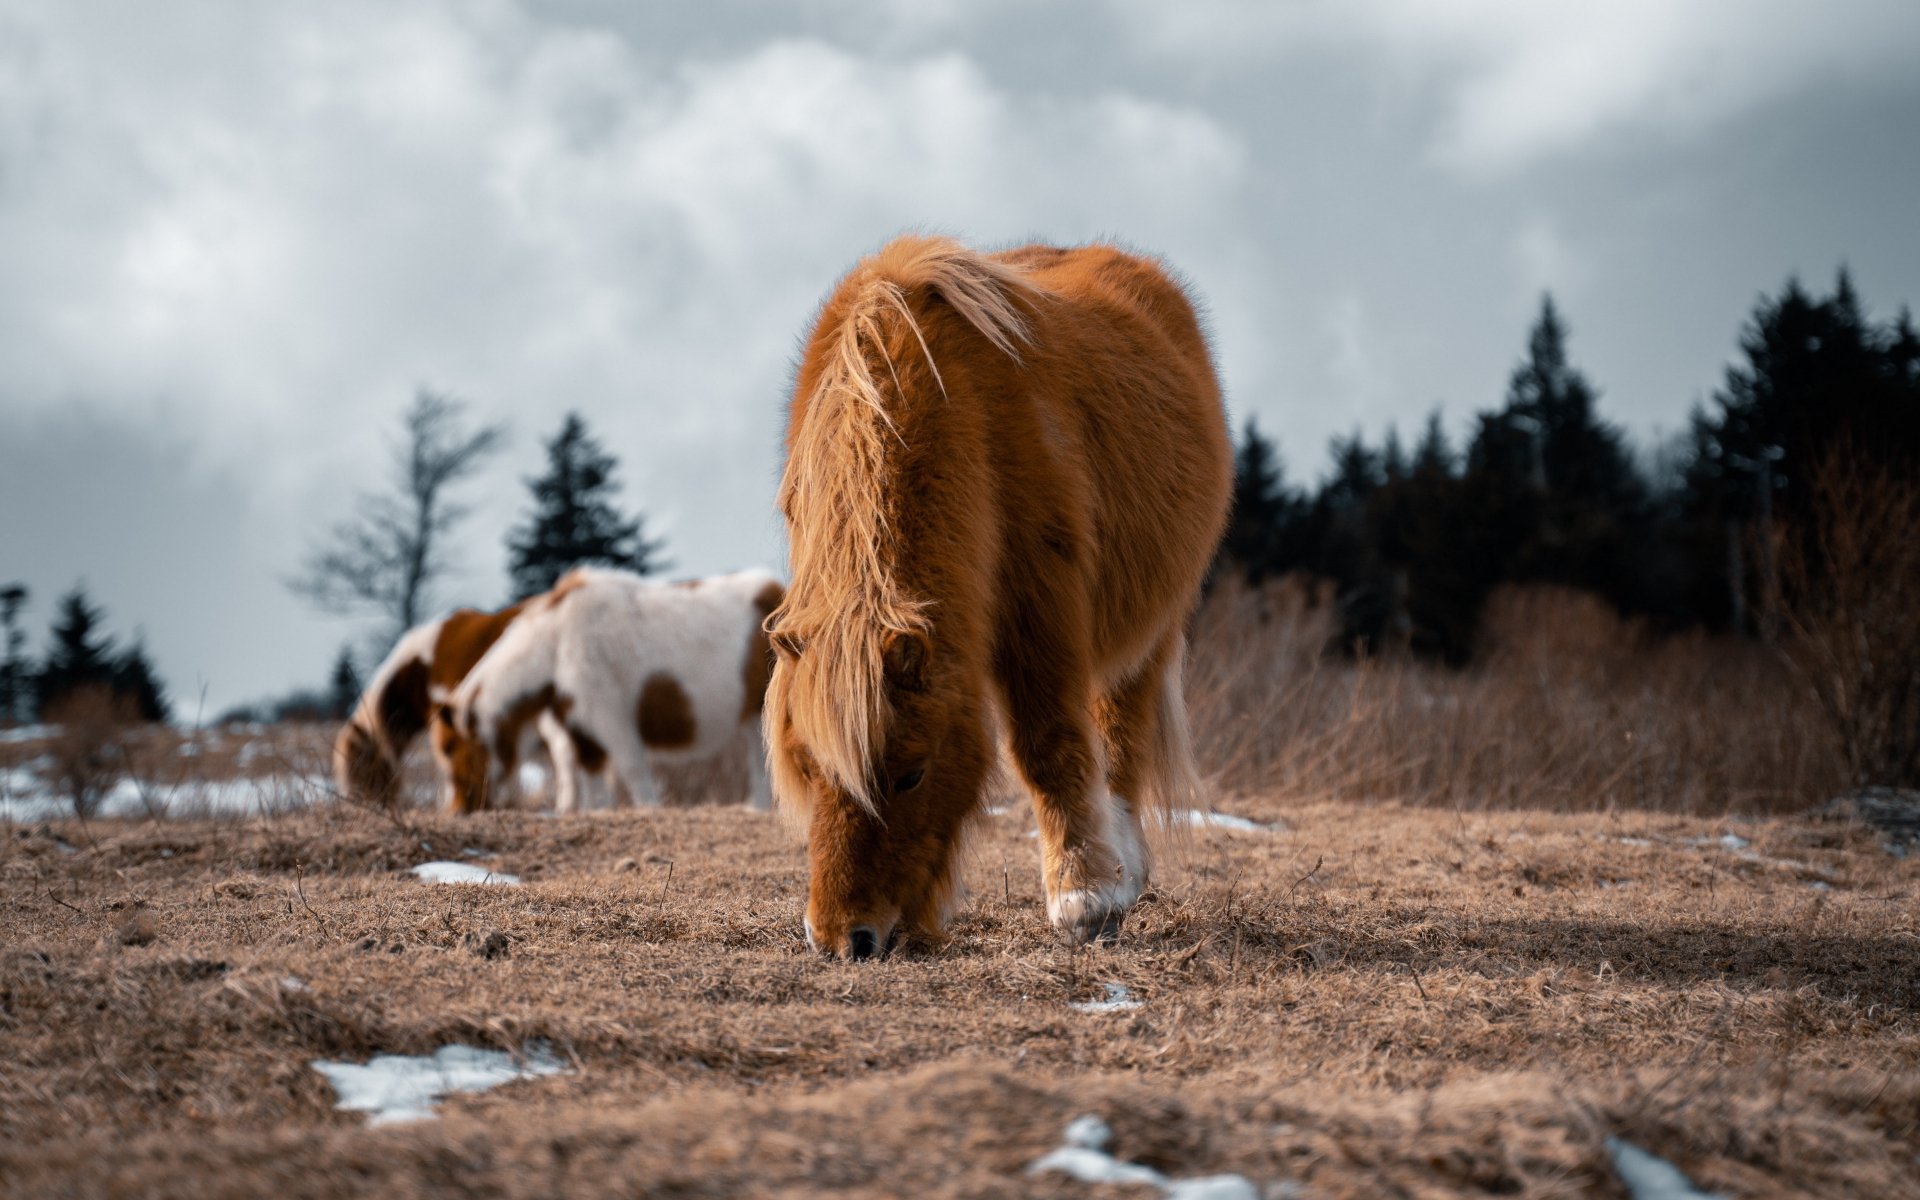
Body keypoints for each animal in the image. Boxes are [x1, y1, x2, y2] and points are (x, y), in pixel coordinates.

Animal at [441, 566, 786, 814]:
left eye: (451, 746)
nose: (460, 807)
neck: (556, 644)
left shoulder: (610, 719)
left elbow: (633, 770)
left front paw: (649, 810)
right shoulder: (578, 729)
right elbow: (590, 777)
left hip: (759, 714)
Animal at [763, 235, 1232, 959]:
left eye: (911, 773)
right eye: (807, 769)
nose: (845, 940)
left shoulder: (1039, 606)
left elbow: (1047, 745)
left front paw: (1084, 899)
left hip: (1149, 632)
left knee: (1119, 738)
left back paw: (1122, 875)